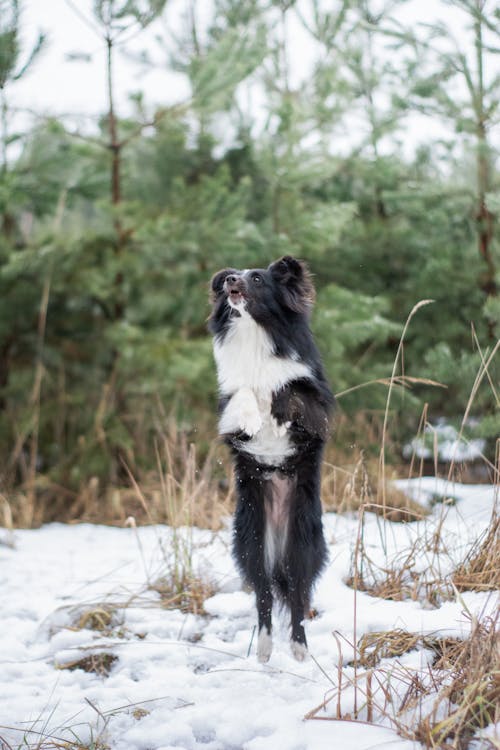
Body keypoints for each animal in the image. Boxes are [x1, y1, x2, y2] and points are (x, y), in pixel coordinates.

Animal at [209, 258, 334, 664]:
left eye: (257, 278)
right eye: (232, 275)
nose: (230, 280)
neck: (255, 332)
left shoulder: (317, 402)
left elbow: (289, 388)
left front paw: (277, 414)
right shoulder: (227, 403)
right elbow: (244, 394)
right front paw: (253, 419)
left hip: (303, 544)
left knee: (297, 597)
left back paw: (299, 648)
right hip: (251, 541)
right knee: (264, 596)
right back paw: (264, 649)